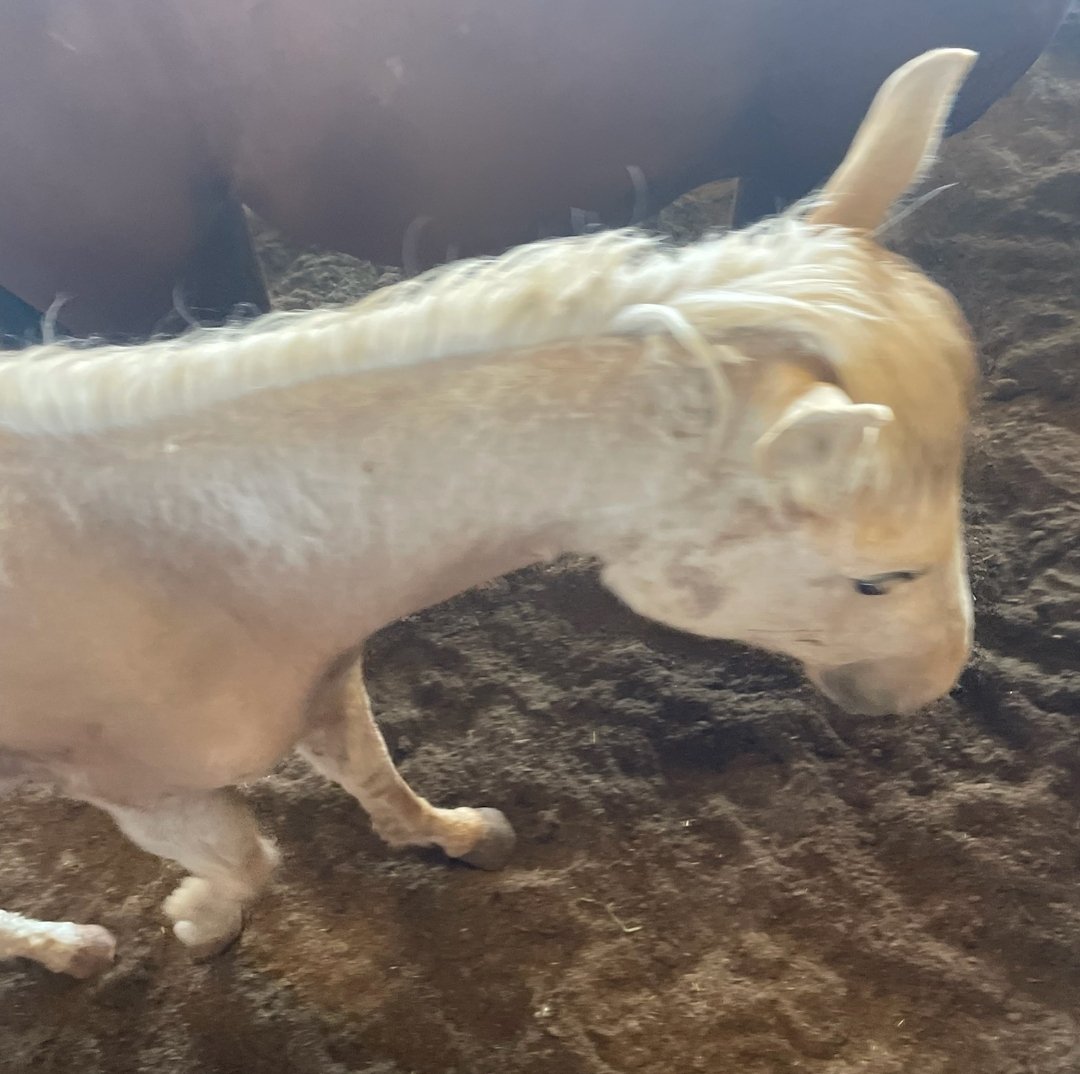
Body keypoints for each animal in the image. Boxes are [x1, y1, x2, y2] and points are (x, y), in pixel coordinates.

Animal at [0, 49, 978, 977]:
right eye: (881, 577)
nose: (931, 689)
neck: (192, 555)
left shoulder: (326, 683)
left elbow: (377, 776)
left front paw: (457, 837)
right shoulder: (150, 790)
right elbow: (244, 861)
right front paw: (198, 921)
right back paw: (63, 947)